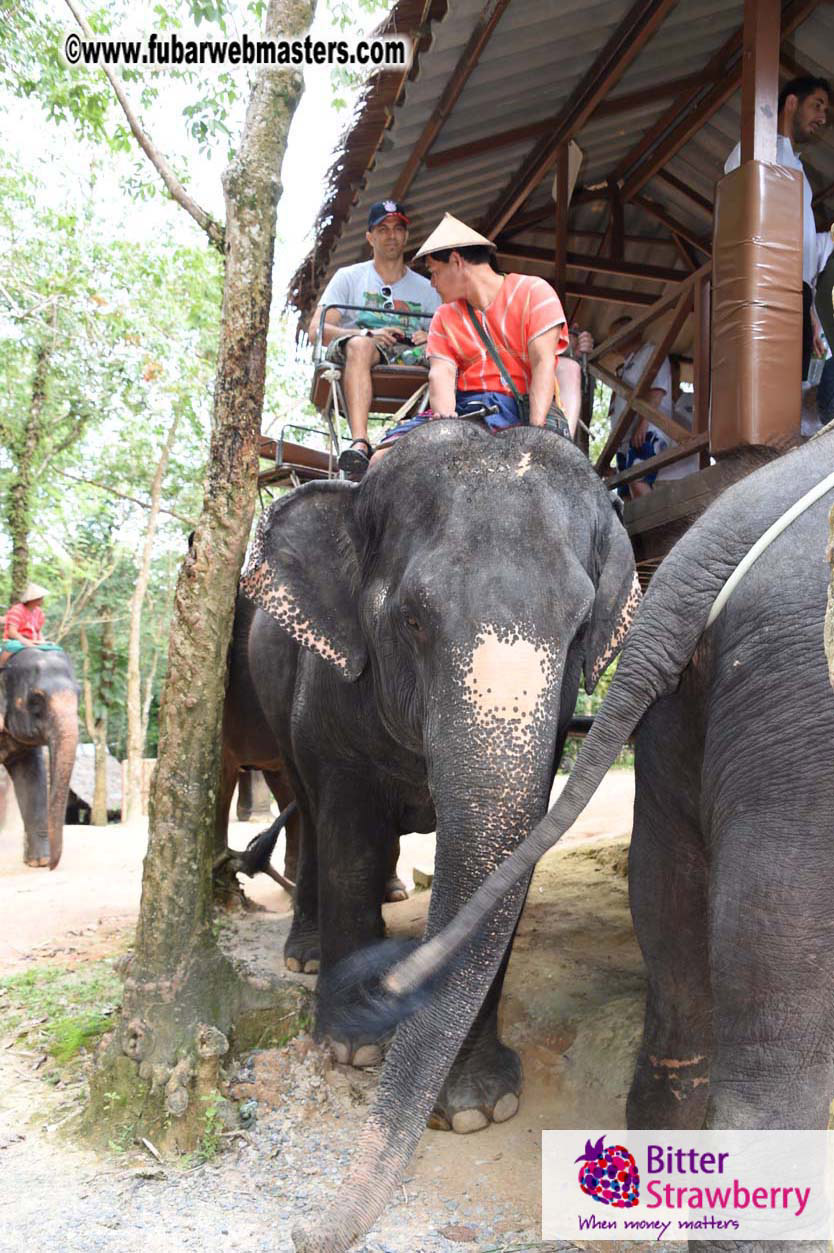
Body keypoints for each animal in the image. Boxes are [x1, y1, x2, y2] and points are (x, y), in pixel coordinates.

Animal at [239, 419, 637, 1119]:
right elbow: (348, 840)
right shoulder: (331, 696)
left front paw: (478, 1108)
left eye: (582, 626)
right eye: (413, 619)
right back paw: (309, 959)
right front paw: (352, 1049)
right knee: (310, 811)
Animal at [296, 430, 834, 1253]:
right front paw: (349, 1051)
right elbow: (349, 842)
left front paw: (475, 1113)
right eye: (412, 620)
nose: (305, 1232)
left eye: (580, 626)